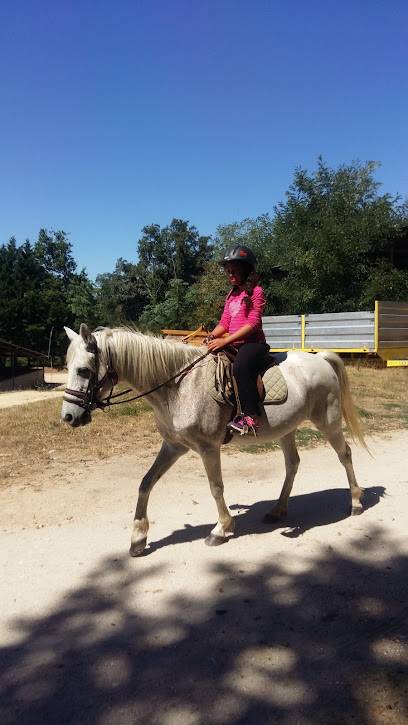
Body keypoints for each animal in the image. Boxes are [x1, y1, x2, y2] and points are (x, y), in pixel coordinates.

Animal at [61, 324, 366, 556]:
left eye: (84, 371)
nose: (68, 416)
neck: (178, 386)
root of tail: (320, 358)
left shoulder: (208, 448)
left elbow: (215, 487)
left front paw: (221, 529)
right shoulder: (174, 446)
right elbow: (146, 483)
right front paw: (138, 538)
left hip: (328, 421)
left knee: (346, 455)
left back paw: (355, 502)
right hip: (286, 430)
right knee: (292, 464)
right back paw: (278, 510)